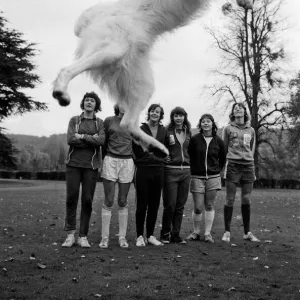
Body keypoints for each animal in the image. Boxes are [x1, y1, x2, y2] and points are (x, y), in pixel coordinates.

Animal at [52, 0, 252, 155]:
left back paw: (156, 147)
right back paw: (61, 92)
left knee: (127, 123)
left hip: (141, 83)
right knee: (67, 70)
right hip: (113, 49)